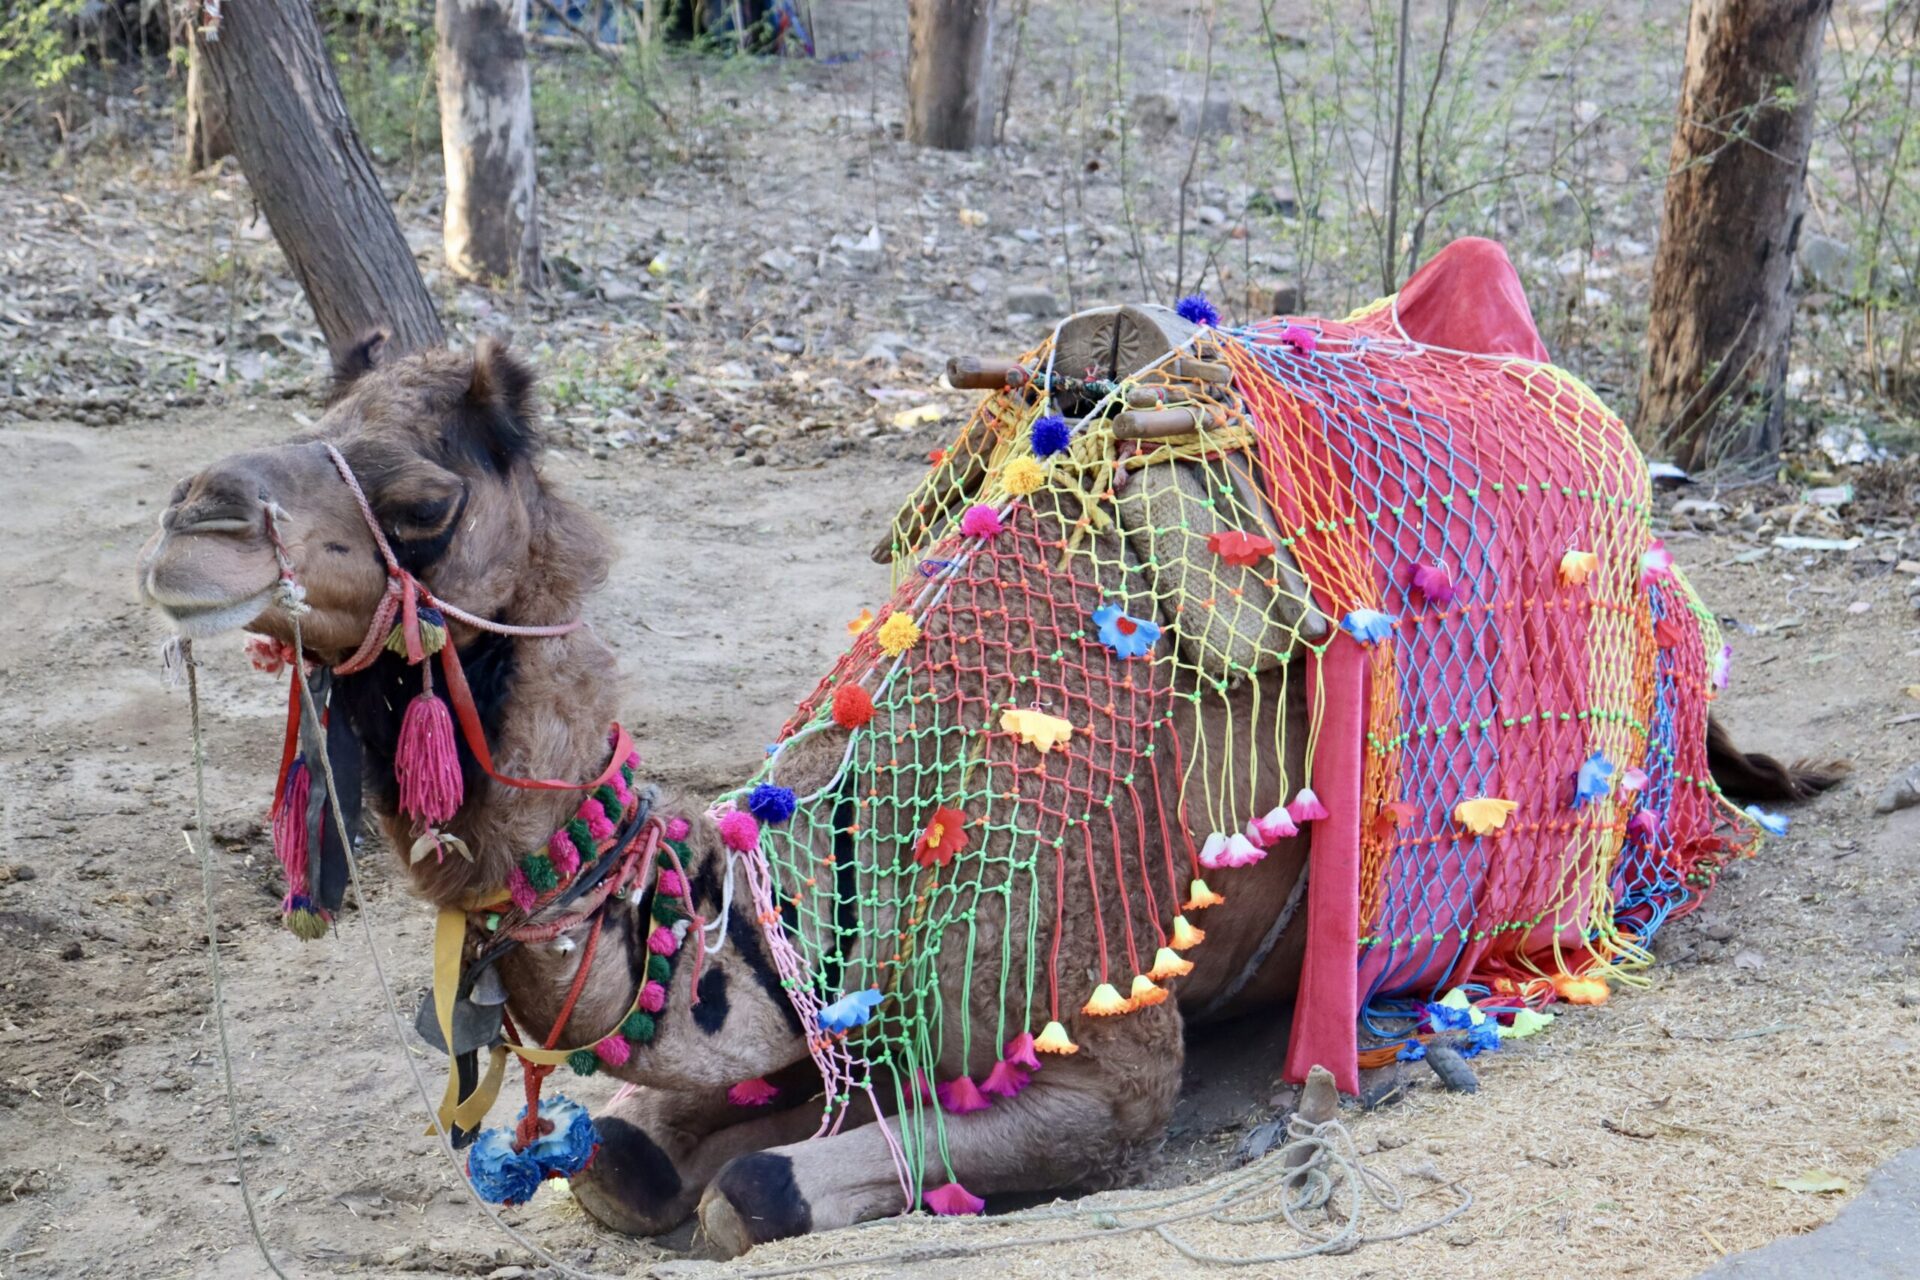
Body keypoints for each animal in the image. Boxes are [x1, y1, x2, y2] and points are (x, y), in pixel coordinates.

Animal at [142, 245, 1835, 1258]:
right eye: (311, 413)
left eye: (422, 500)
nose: (191, 522)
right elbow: (634, 1161)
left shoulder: (1109, 1066)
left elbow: (751, 1193)